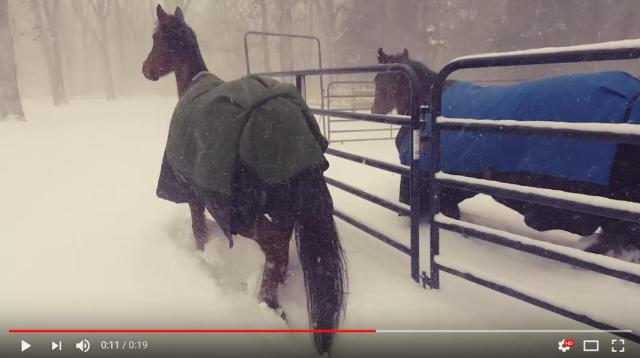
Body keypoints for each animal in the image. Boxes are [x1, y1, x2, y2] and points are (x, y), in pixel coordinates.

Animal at [143, 4, 348, 352]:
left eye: (157, 39)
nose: (145, 69)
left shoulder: (195, 194)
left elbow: (198, 231)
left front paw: (203, 260)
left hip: (245, 216)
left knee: (275, 250)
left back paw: (268, 303)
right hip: (283, 210)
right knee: (279, 253)